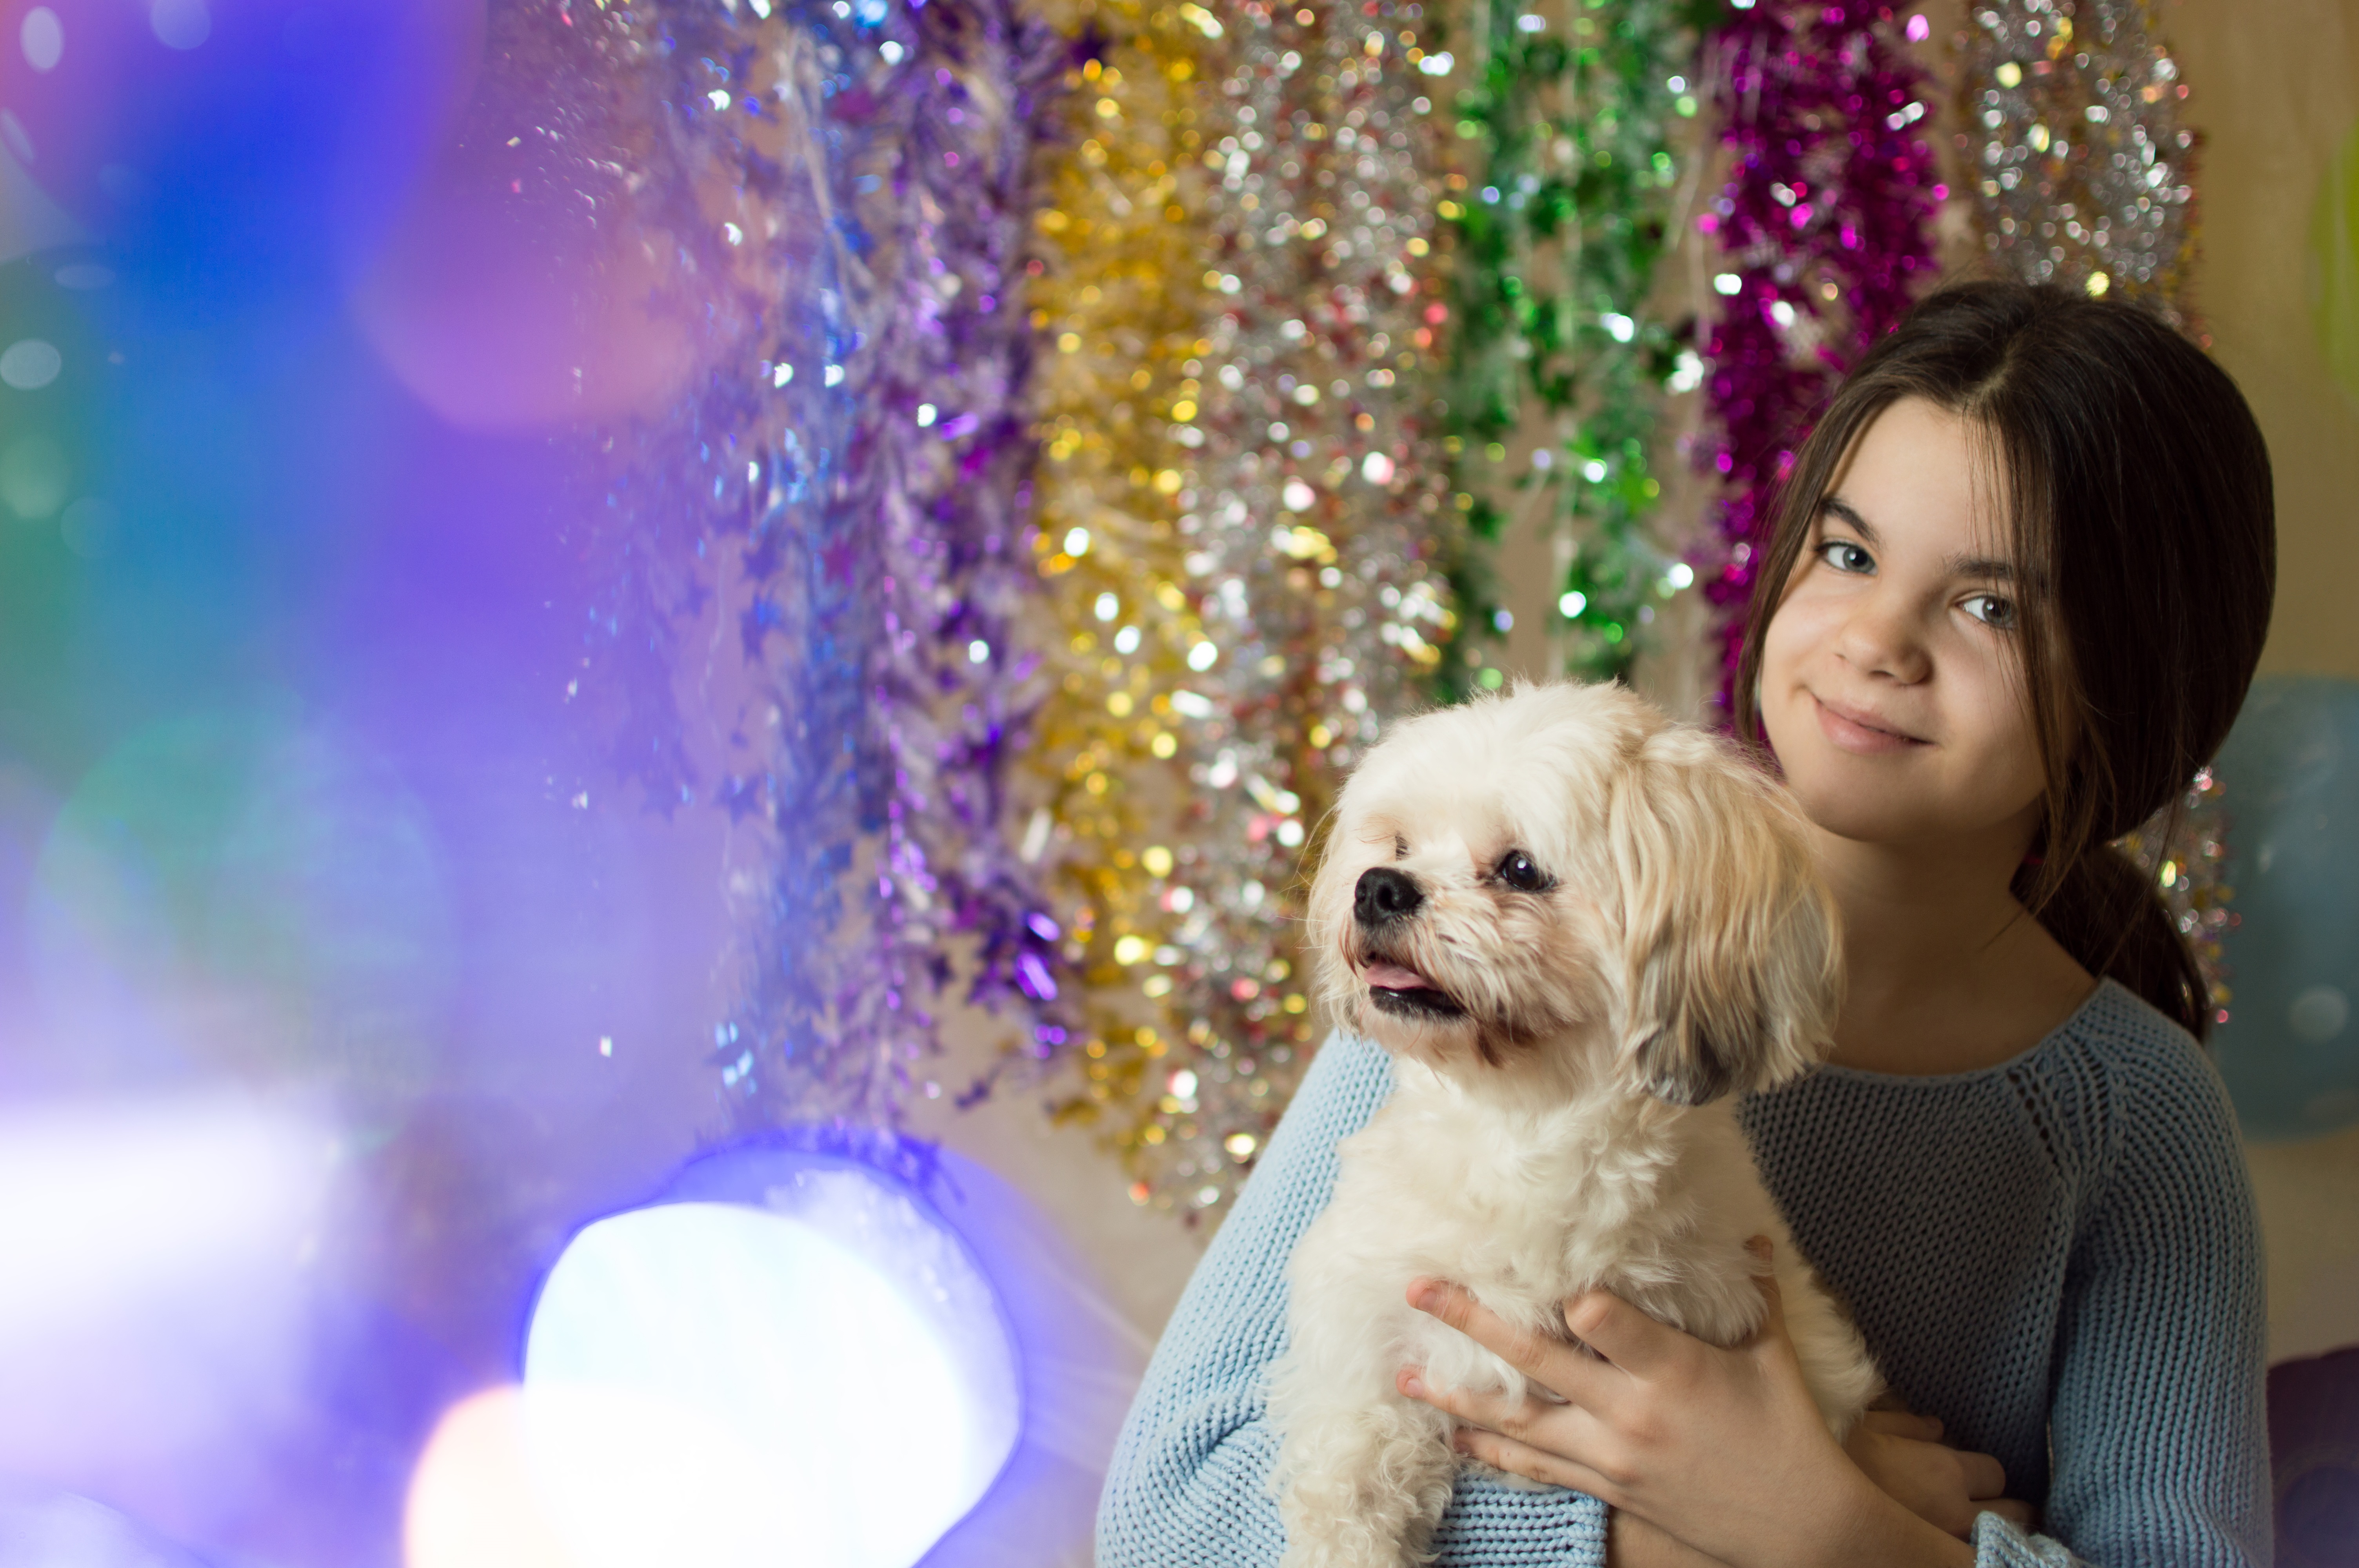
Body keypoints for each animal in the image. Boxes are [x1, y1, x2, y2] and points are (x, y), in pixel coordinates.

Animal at [1264, 684, 1887, 1565]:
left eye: (1520, 870)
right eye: (1399, 843)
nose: (1379, 885)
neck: (1525, 1128)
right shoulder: (1361, 1334)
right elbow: (1348, 1486)